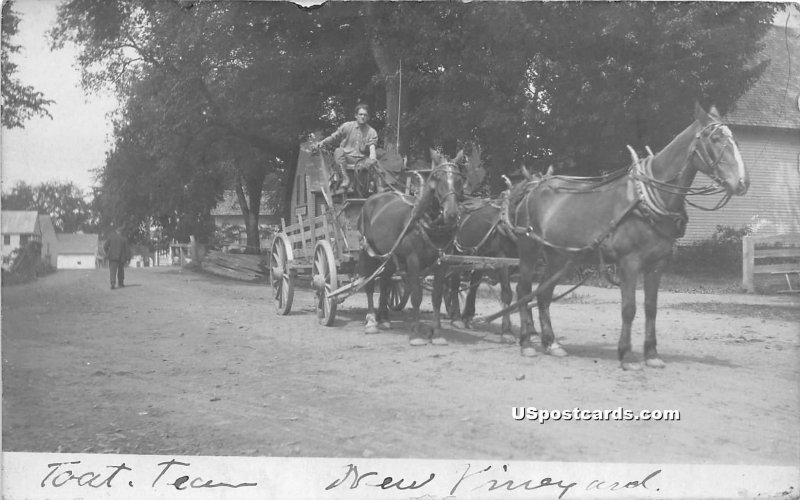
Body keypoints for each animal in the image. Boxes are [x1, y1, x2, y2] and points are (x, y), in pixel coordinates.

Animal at [358, 149, 468, 344]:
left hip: (389, 257)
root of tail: (373, 198)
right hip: (368, 252)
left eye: (459, 179)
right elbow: (416, 296)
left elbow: (437, 296)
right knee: (369, 284)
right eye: (437, 177)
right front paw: (416, 334)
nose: (452, 213)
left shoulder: (442, 263)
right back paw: (371, 321)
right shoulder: (413, 261)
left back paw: (384, 319)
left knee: (385, 283)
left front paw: (437, 333)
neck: (426, 222)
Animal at [512, 102, 752, 368]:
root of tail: (534, 188)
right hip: (529, 249)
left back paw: (551, 343)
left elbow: (650, 307)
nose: (742, 182)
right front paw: (626, 354)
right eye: (716, 138)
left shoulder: (657, 264)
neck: (645, 200)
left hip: (558, 256)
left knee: (543, 295)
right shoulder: (629, 262)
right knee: (523, 290)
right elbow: (629, 308)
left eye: (735, 139)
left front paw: (652, 353)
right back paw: (526, 343)